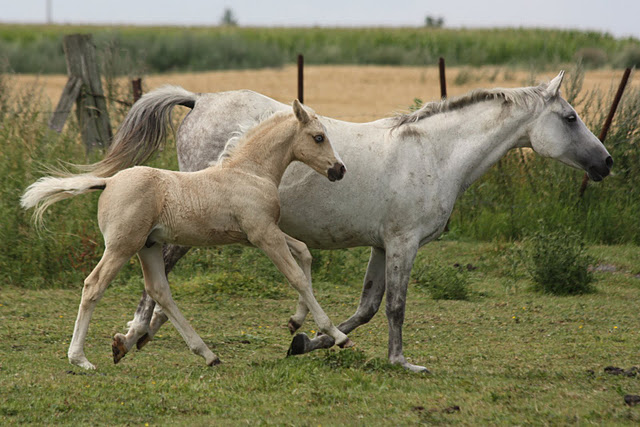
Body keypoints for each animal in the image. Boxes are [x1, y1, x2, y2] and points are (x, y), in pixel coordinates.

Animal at [21, 101, 350, 372]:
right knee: (94, 286)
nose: (339, 170)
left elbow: (304, 252)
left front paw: (296, 321)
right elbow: (296, 277)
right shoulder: (263, 235)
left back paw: (206, 354)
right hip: (121, 246)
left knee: (159, 291)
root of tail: (108, 181)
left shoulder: (259, 233)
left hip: (149, 246)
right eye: (318, 137)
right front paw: (336, 334)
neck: (250, 172)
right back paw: (79, 358)